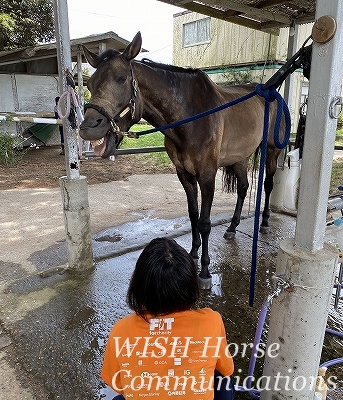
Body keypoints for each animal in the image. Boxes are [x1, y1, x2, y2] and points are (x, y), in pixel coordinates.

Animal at [79, 31, 286, 288]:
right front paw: (193, 254)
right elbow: (193, 215)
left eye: (120, 79)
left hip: (272, 152)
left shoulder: (207, 175)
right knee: (243, 188)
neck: (190, 118)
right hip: (240, 157)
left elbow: (205, 222)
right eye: (89, 84)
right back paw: (232, 227)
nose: (88, 128)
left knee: (267, 185)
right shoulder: (184, 175)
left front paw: (205, 271)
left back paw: (265, 222)